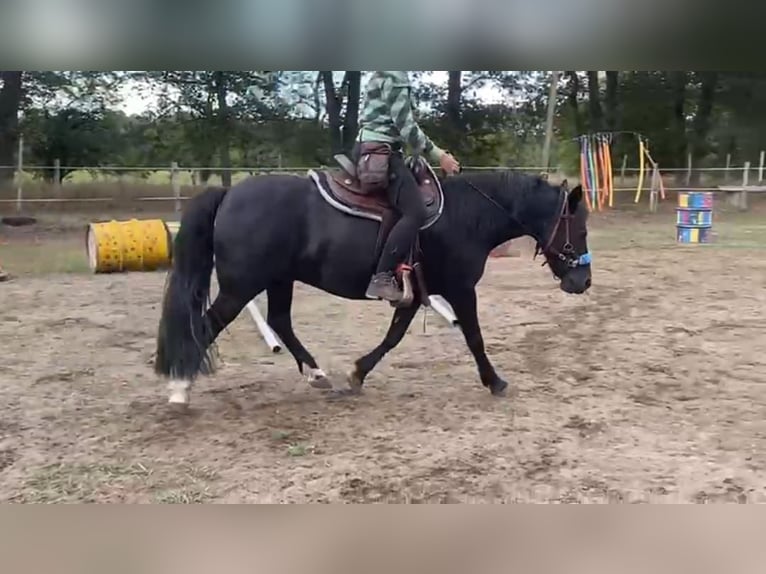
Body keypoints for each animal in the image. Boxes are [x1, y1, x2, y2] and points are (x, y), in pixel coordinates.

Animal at [154, 158, 592, 407]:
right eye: (581, 229)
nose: (583, 281)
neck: (467, 216)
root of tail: (229, 195)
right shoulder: (460, 290)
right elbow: (474, 337)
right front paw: (495, 382)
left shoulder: (415, 294)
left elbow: (393, 336)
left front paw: (357, 374)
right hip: (241, 287)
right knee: (205, 326)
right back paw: (180, 388)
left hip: (279, 279)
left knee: (279, 322)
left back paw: (317, 375)